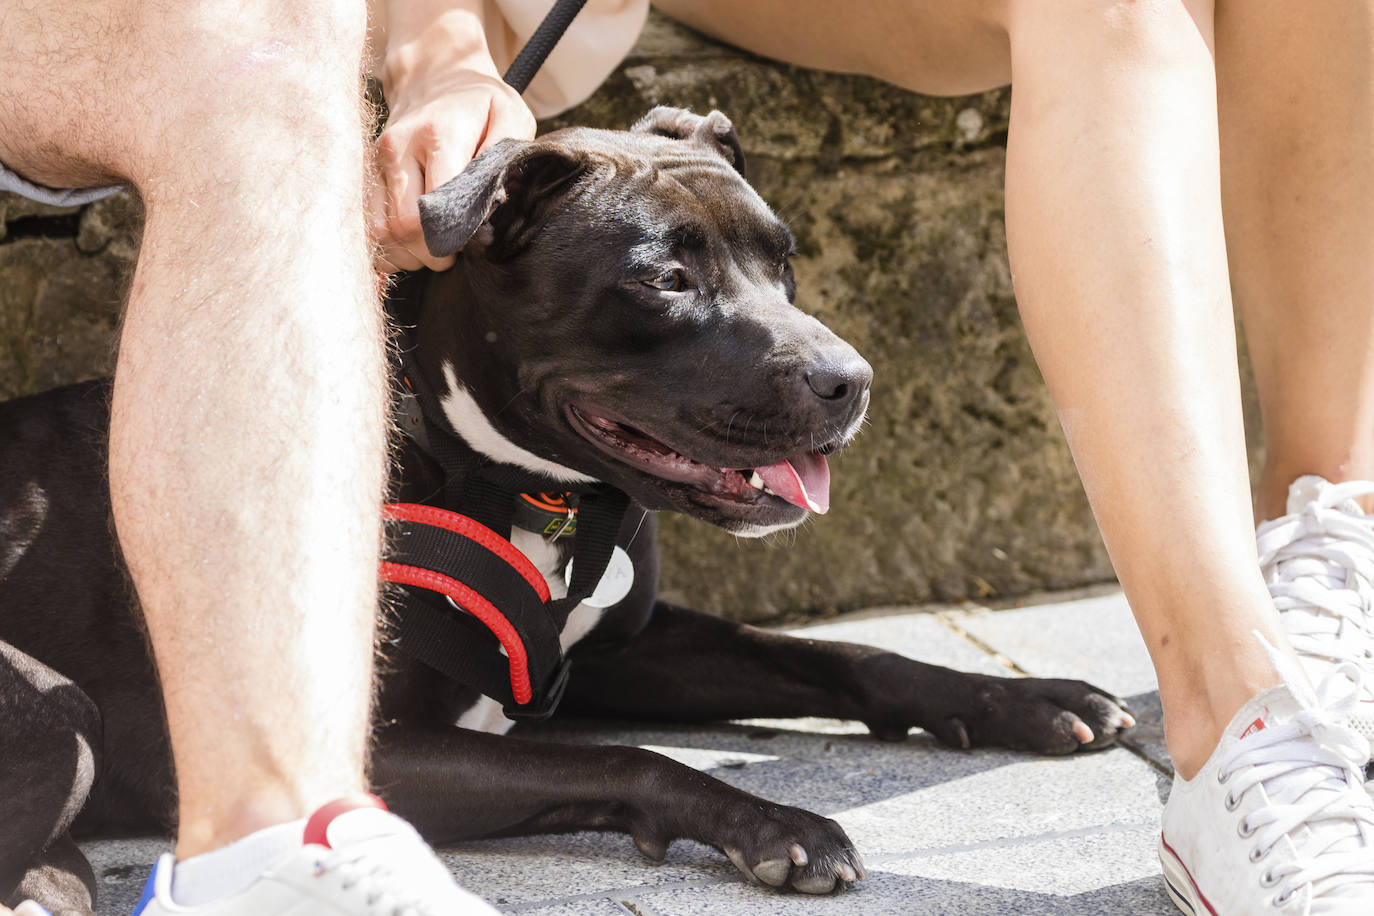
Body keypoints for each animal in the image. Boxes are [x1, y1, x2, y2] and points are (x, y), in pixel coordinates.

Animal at [0, 109, 1132, 916]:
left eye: (784, 257)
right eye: (665, 277)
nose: (849, 380)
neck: (535, 500)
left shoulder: (614, 647)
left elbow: (839, 656)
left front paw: (1022, 699)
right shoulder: (374, 748)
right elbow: (618, 755)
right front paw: (773, 823)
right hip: (57, 707)